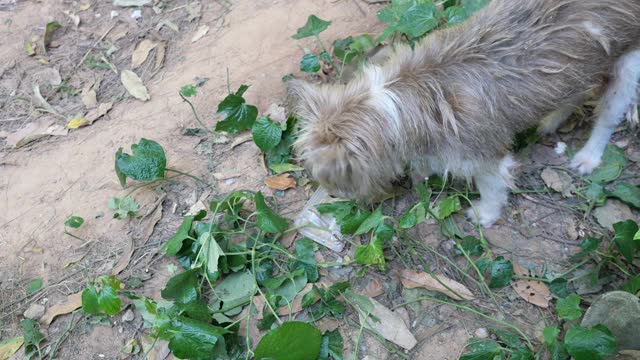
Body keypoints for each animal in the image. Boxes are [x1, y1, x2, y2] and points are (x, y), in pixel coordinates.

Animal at [288, 0, 640, 225]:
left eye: (337, 177)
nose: (338, 197)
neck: (401, 99)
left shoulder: (485, 156)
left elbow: (491, 187)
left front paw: (486, 215)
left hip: (627, 66)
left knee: (608, 117)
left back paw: (589, 157)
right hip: (573, 68)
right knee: (575, 90)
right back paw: (551, 119)